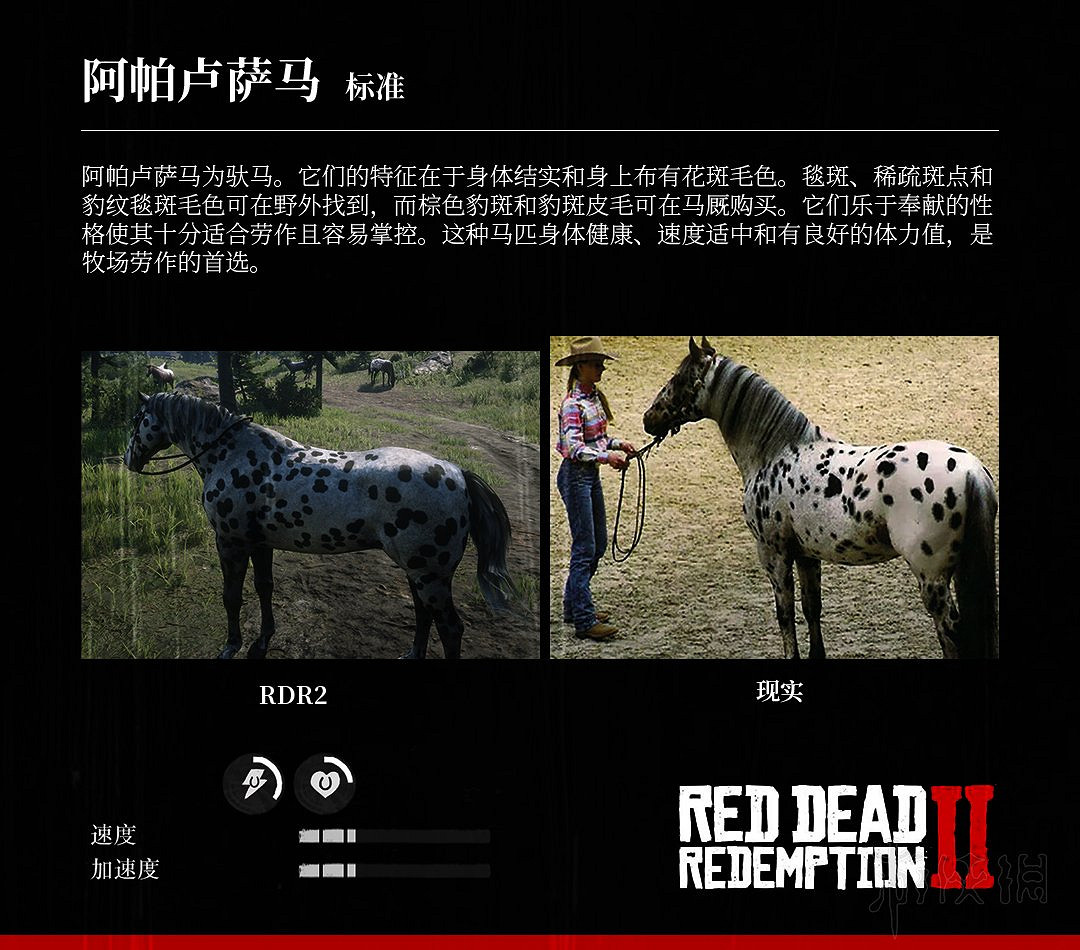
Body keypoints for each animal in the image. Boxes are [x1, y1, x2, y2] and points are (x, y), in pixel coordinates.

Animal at [123, 392, 515, 659]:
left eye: (138, 419)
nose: (128, 460)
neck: (233, 455)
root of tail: (458, 474)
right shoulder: (259, 544)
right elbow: (264, 589)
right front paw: (262, 640)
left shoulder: (230, 542)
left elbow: (231, 597)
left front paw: (232, 645)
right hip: (419, 571)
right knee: (423, 614)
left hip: (429, 575)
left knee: (450, 628)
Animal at [642, 337, 998, 660]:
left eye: (679, 379)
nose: (648, 419)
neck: (776, 452)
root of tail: (971, 472)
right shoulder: (806, 555)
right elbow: (812, 608)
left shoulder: (774, 555)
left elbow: (785, 616)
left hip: (932, 578)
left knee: (952, 633)